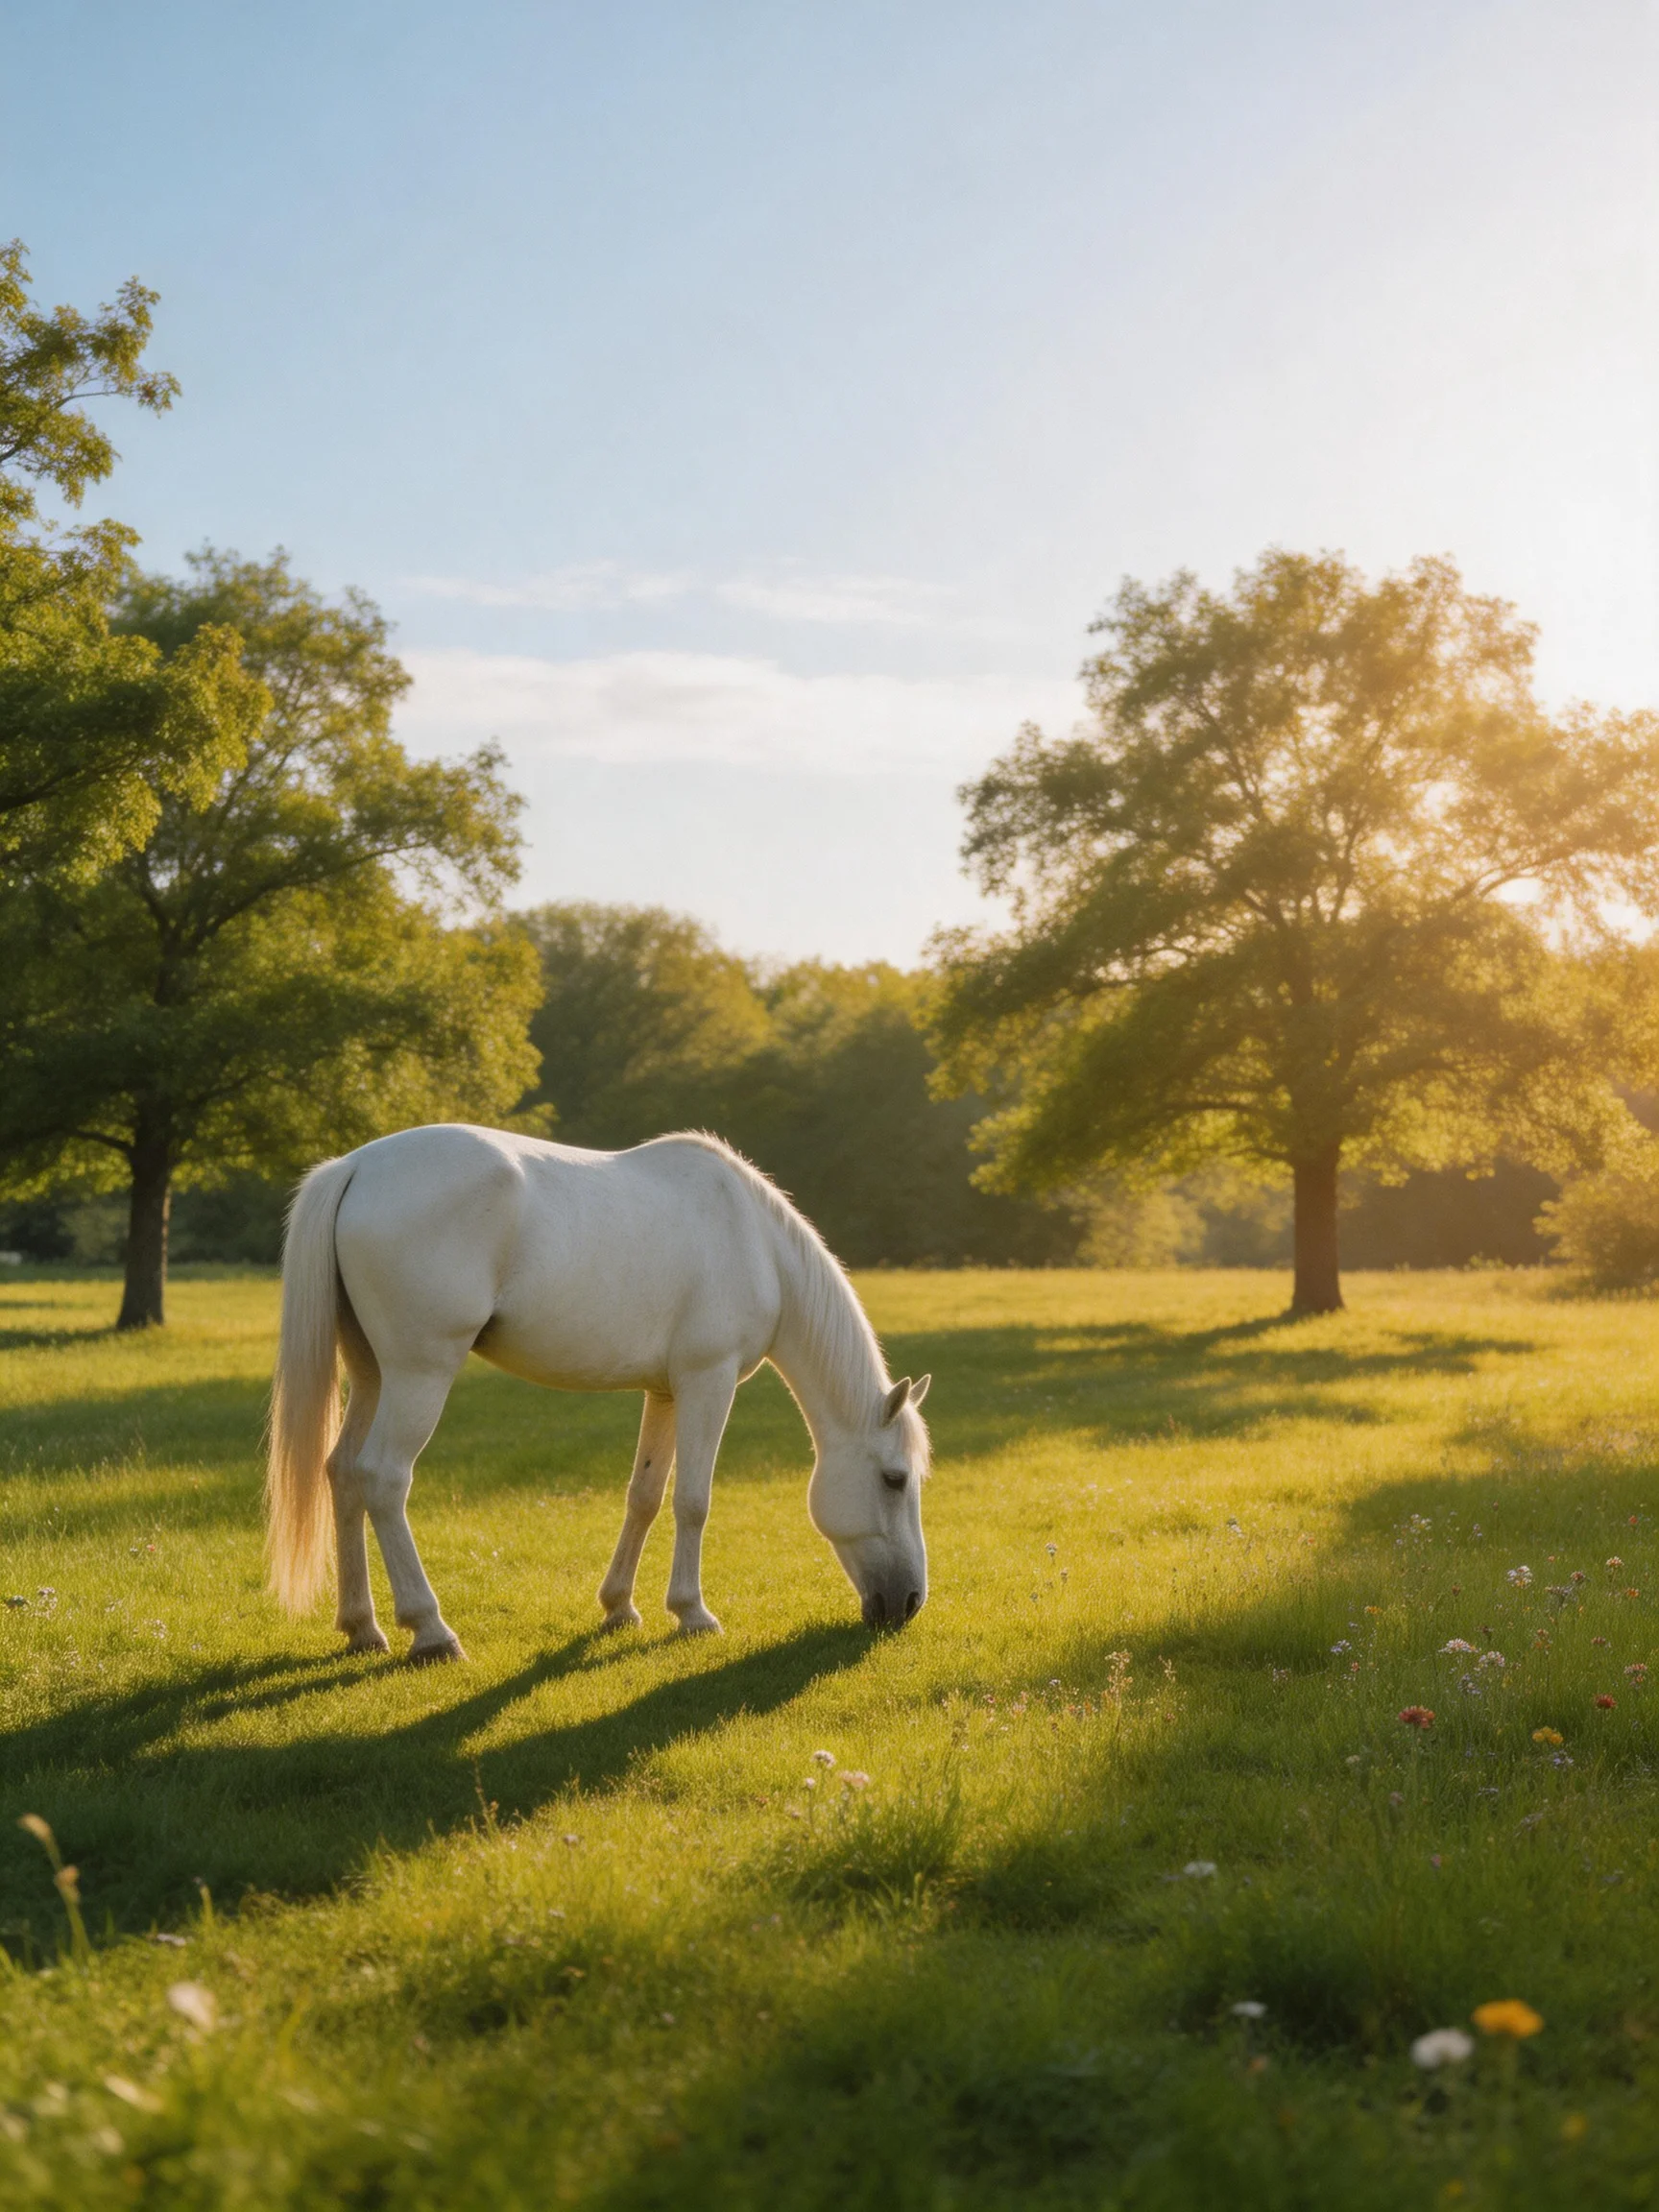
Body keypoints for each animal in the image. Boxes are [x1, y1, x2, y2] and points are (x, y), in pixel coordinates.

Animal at [265, 1122, 932, 1661]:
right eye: (894, 1479)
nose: (909, 1603)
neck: (756, 1244)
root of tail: (356, 1167)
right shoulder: (707, 1381)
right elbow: (693, 1500)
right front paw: (693, 1614)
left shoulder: (665, 1393)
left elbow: (645, 1496)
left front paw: (620, 1608)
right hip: (417, 1375)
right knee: (383, 1478)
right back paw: (431, 1631)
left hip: (372, 1376)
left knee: (343, 1473)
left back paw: (363, 1628)